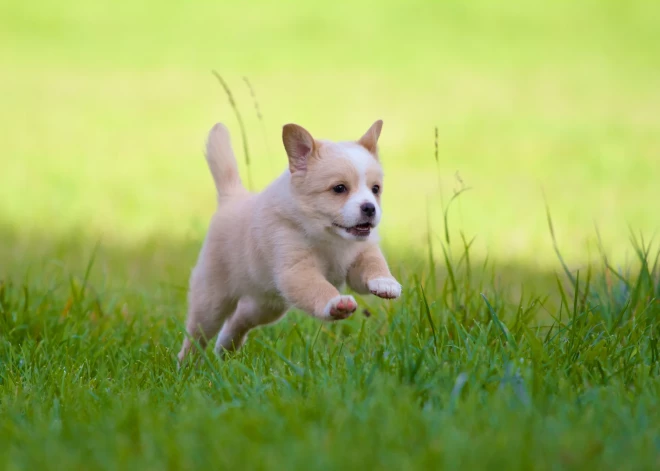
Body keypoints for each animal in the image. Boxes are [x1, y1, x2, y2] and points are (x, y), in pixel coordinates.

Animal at [177, 118, 402, 362]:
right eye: (339, 188)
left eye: (375, 189)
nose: (370, 208)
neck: (330, 237)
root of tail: (231, 198)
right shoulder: (296, 271)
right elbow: (318, 288)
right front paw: (336, 303)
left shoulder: (360, 257)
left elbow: (373, 263)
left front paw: (386, 282)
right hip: (212, 301)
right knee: (196, 335)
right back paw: (186, 364)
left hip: (266, 305)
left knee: (239, 319)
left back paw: (224, 348)